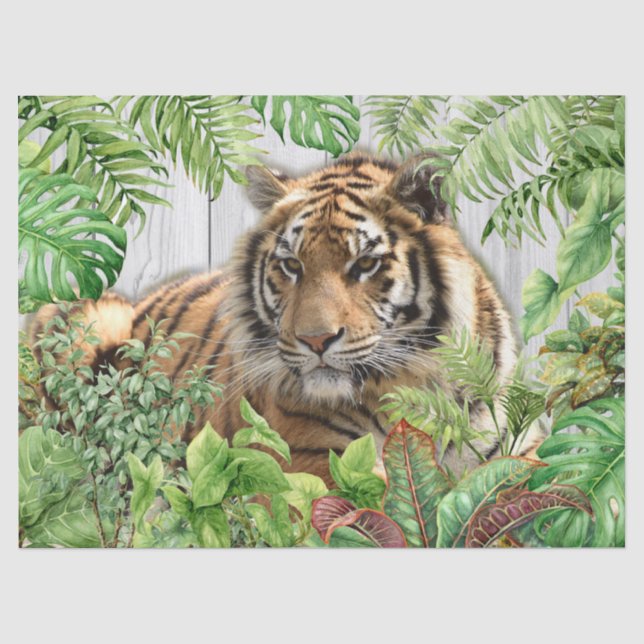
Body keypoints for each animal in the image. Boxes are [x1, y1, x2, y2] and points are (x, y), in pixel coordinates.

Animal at [30, 152, 543, 484]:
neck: (415, 390)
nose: (316, 341)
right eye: (292, 266)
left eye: (365, 264)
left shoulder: (521, 441)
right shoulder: (305, 457)